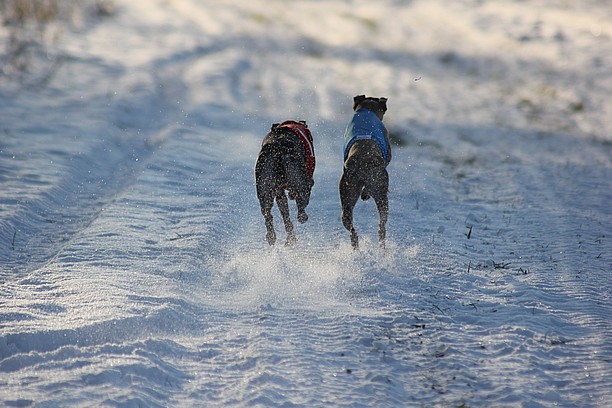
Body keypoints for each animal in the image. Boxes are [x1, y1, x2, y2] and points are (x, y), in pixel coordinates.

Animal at [340, 95, 392, 249]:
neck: (367, 109)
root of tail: (363, 162)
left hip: (347, 196)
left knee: (350, 226)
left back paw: (356, 244)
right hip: (380, 191)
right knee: (382, 224)